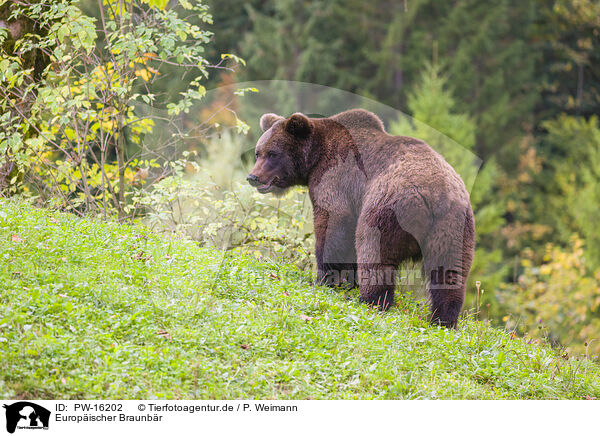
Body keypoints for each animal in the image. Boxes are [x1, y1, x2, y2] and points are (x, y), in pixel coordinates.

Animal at [246, 109, 476, 328]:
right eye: (258, 152)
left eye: (272, 154)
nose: (252, 177)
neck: (315, 157)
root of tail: (435, 195)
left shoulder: (336, 179)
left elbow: (332, 225)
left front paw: (324, 279)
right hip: (452, 228)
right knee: (449, 272)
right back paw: (443, 319)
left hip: (388, 210)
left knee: (374, 252)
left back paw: (372, 300)